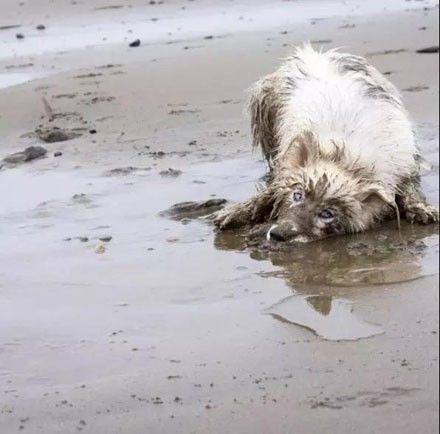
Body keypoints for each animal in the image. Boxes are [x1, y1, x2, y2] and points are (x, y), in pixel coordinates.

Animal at [213, 44, 436, 244]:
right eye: (297, 195)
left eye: (328, 214)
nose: (278, 235)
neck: (346, 158)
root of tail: (313, 52)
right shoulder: (288, 162)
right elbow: (270, 190)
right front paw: (236, 212)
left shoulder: (404, 164)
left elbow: (410, 191)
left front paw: (421, 209)